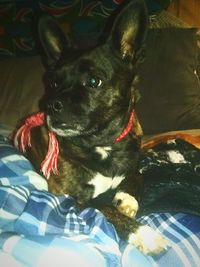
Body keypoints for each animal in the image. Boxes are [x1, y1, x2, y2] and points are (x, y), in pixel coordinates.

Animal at [20, 0, 169, 255]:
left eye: (93, 81)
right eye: (54, 83)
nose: (51, 105)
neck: (103, 144)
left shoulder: (134, 163)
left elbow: (138, 175)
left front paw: (126, 198)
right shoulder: (71, 199)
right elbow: (104, 208)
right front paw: (144, 234)